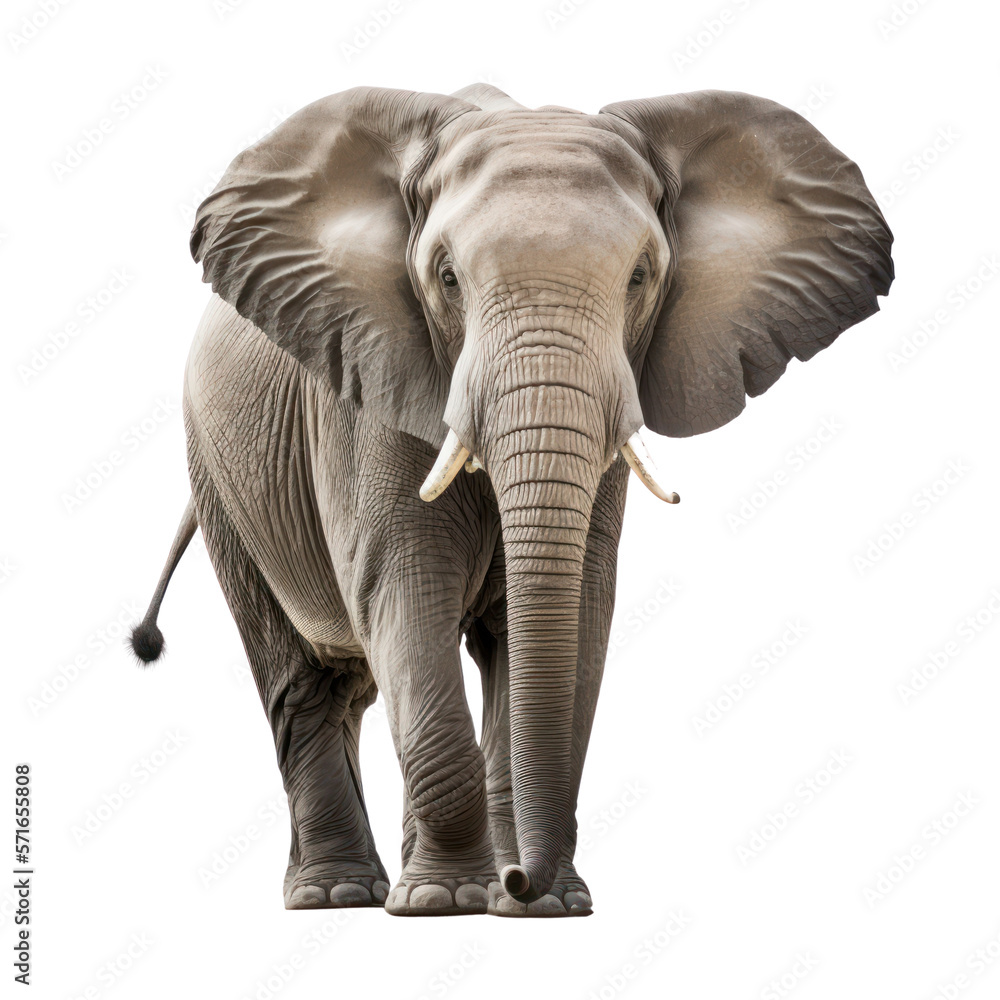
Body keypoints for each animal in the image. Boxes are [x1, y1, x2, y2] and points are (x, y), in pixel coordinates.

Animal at [131, 83, 893, 917]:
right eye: (446, 278)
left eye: (640, 277)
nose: (523, 878)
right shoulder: (366, 390)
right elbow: (404, 590)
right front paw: (450, 901)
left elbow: (570, 612)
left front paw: (537, 905)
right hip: (220, 471)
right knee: (306, 681)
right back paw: (338, 893)